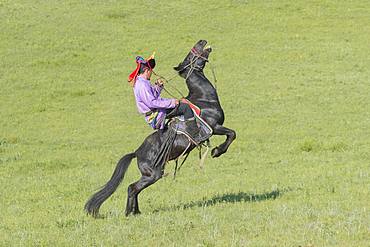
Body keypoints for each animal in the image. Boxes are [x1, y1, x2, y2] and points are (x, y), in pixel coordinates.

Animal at [84, 40, 237, 216]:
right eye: (189, 57)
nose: (201, 41)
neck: (204, 98)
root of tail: (137, 152)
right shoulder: (214, 127)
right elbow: (232, 134)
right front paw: (216, 152)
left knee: (134, 189)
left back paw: (136, 212)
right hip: (153, 175)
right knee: (132, 188)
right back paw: (130, 213)